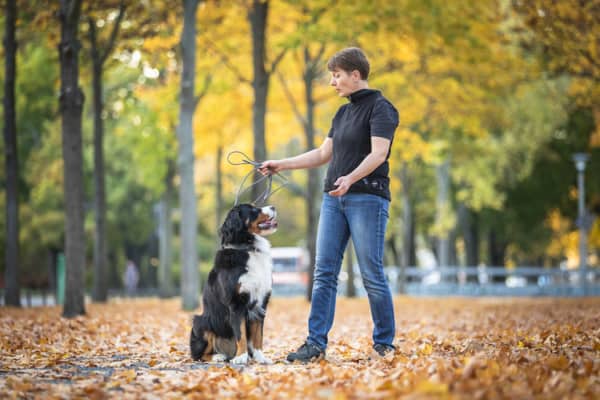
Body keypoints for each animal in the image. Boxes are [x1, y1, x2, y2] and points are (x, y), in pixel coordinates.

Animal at [189, 205, 278, 364]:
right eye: (253, 210)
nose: (273, 207)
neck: (248, 248)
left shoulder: (260, 303)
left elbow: (258, 336)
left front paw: (260, 357)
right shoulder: (236, 303)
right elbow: (240, 334)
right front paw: (241, 357)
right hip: (201, 322)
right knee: (199, 355)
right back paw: (218, 356)